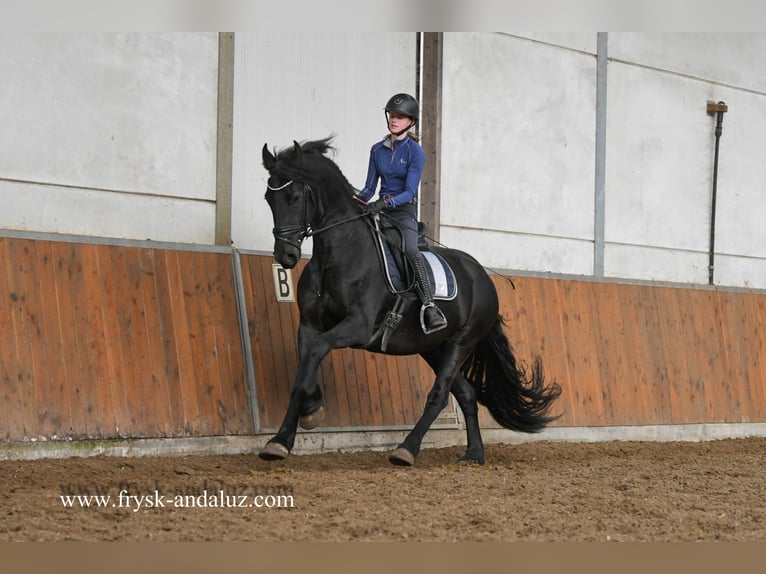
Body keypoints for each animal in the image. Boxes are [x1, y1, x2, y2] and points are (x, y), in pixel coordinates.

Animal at [260, 140, 560, 468]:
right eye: (269, 198)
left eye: (295, 197)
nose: (286, 256)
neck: (337, 254)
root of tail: (483, 277)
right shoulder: (309, 326)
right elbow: (303, 371)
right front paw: (285, 436)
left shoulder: (358, 327)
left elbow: (316, 352)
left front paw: (307, 416)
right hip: (433, 347)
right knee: (467, 394)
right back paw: (474, 453)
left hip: (462, 342)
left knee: (439, 394)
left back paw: (407, 449)